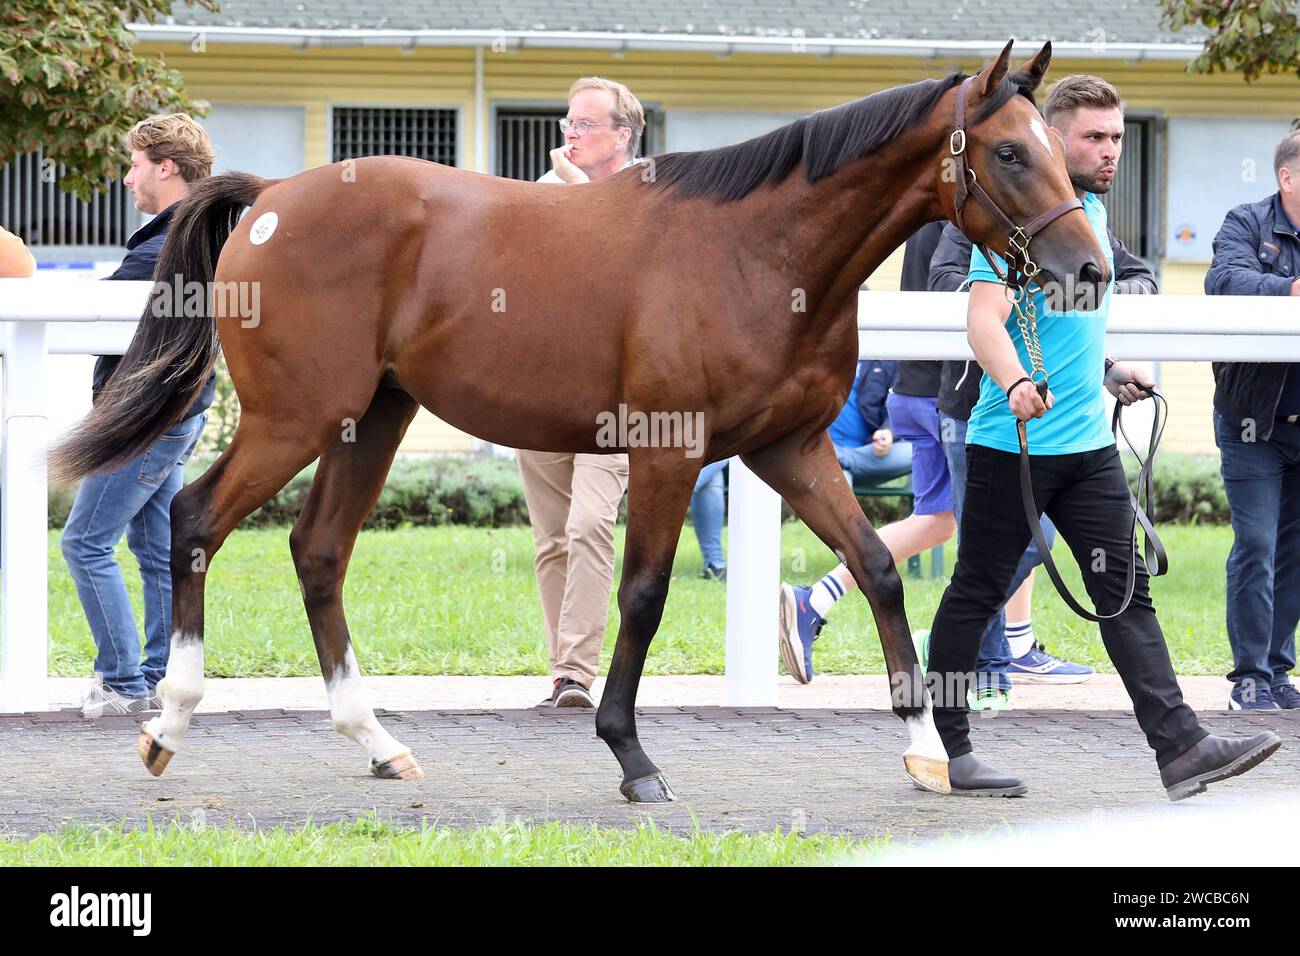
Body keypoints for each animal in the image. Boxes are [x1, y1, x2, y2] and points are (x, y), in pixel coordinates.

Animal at [50, 41, 1107, 806]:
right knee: (195, 520)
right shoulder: (670, 449)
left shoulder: (789, 449)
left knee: (318, 552)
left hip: (370, 422)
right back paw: (169, 723)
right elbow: (641, 594)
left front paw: (929, 751)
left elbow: (881, 568)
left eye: (1061, 149)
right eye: (1009, 151)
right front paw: (632, 757)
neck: (759, 250)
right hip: (297, 417)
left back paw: (378, 743)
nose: (1089, 271)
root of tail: (271, 201)